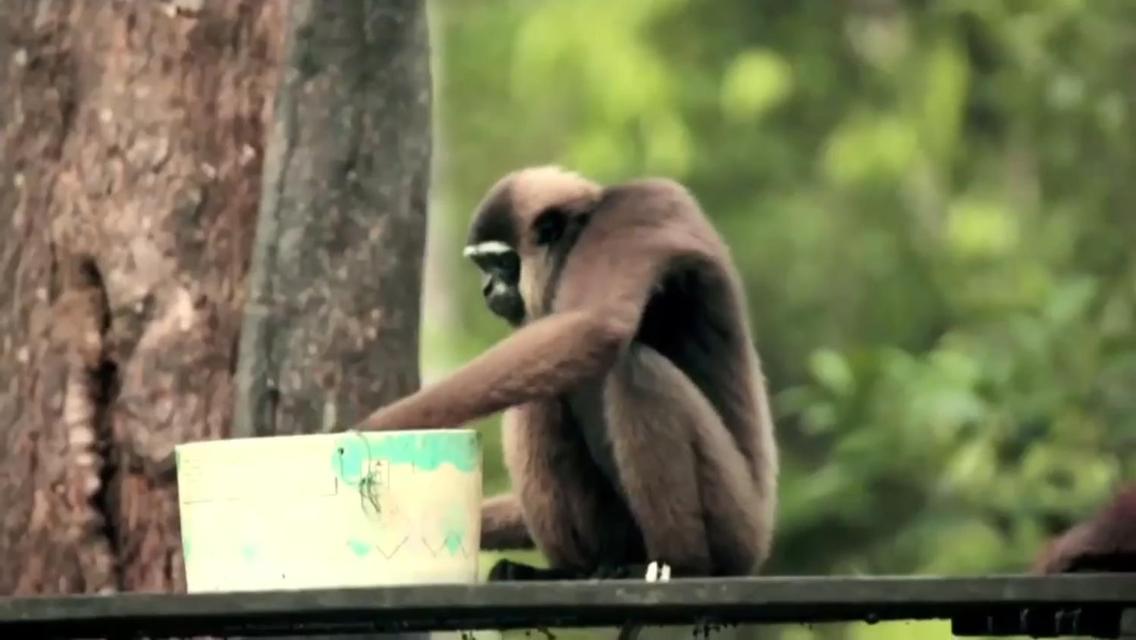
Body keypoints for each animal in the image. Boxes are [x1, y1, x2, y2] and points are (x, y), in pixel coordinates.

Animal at [353, 165, 779, 582]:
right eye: (483, 266)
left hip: (735, 522)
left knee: (636, 373)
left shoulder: (641, 206)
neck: (578, 240)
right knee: (542, 400)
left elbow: (596, 326)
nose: (487, 287)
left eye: (500, 263)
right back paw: (568, 570)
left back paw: (682, 565)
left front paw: (372, 427)